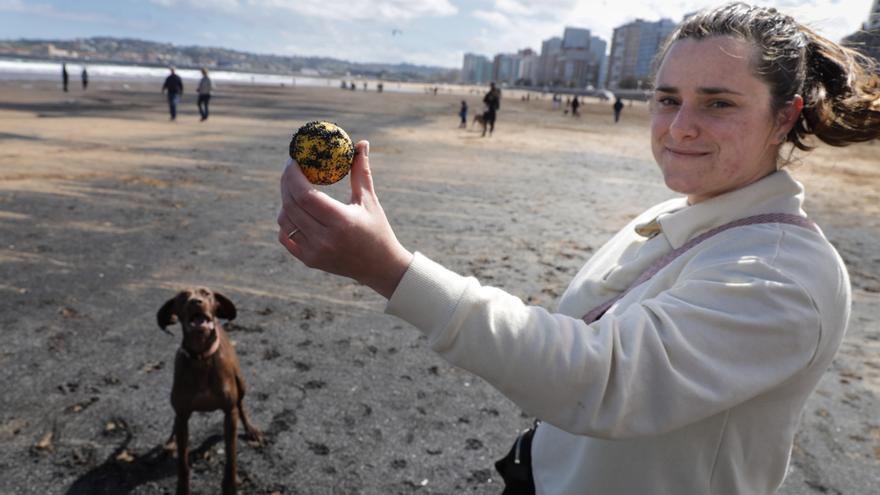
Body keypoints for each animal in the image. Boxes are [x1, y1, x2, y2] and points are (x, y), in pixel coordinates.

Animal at [157, 288, 262, 495]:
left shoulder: (229, 414)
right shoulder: (182, 415)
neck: (201, 358)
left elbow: (231, 455)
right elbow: (182, 464)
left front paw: (230, 485)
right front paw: (183, 489)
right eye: (182, 296)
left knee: (241, 404)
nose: (196, 302)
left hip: (241, 383)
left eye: (206, 294)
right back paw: (170, 443)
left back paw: (251, 429)